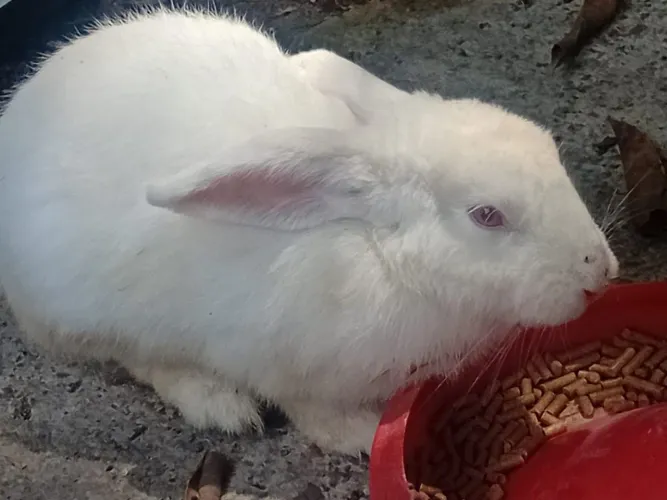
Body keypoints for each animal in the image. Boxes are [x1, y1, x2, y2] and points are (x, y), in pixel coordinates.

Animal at [0, 7, 619, 455]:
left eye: (550, 149)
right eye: (487, 215)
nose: (599, 272)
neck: (380, 259)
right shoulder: (281, 367)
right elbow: (314, 415)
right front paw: (364, 438)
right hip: (90, 314)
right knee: (139, 358)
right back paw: (220, 406)